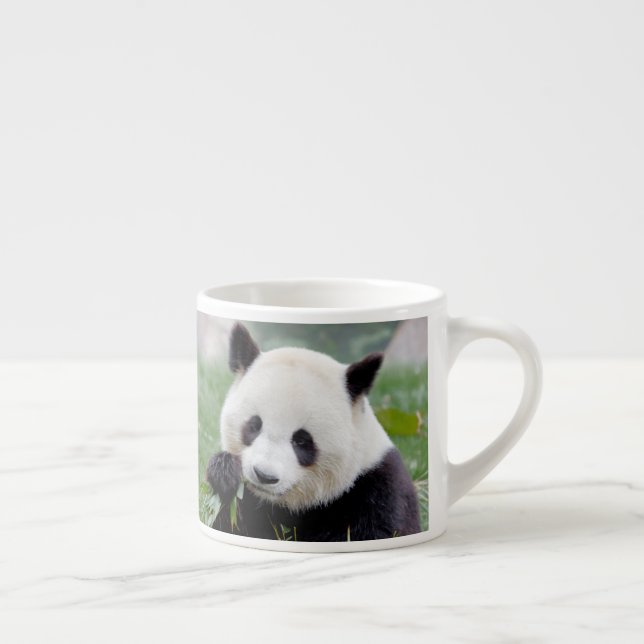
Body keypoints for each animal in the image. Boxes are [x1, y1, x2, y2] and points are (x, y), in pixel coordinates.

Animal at [206, 322, 421, 541]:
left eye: (301, 440)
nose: (264, 475)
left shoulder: (375, 491)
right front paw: (225, 473)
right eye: (254, 425)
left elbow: (372, 531)